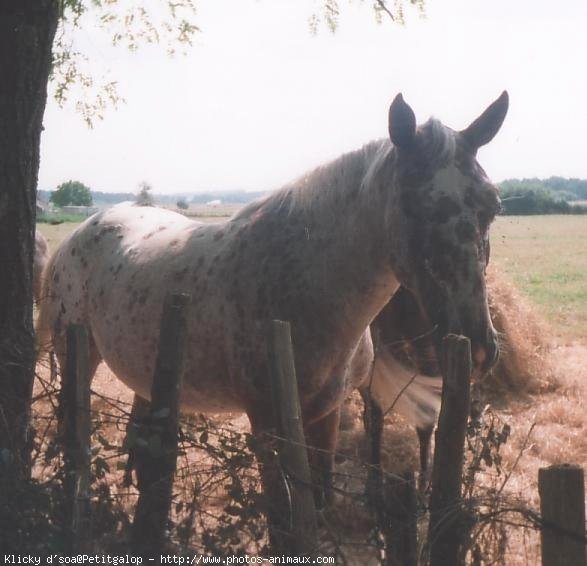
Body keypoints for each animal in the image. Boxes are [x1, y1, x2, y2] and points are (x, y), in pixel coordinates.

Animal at [36, 92, 508, 536]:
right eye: (411, 204)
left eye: (493, 205)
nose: (479, 346)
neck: (307, 286)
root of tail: (80, 233)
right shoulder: (267, 425)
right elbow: (284, 515)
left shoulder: (326, 416)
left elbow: (321, 500)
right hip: (77, 356)